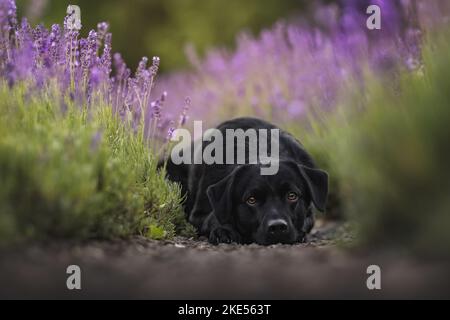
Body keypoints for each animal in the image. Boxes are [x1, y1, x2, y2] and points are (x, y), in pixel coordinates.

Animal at [160, 117, 328, 245]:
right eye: (251, 200)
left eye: (292, 195)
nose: (277, 227)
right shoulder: (198, 215)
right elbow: (213, 217)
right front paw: (223, 230)